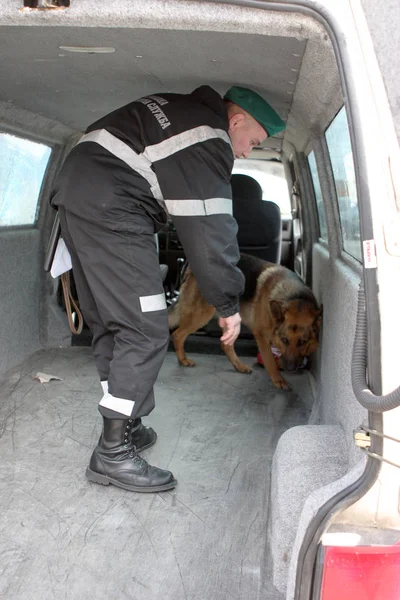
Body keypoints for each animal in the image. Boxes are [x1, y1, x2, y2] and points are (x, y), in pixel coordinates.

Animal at [168, 252, 322, 390]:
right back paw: (182, 360)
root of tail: (190, 266)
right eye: (285, 340)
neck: (296, 297)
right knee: (177, 335)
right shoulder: (261, 335)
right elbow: (269, 360)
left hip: (230, 321)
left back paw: (239, 366)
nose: (290, 368)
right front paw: (279, 380)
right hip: (202, 315)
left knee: (225, 345)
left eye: (302, 342)